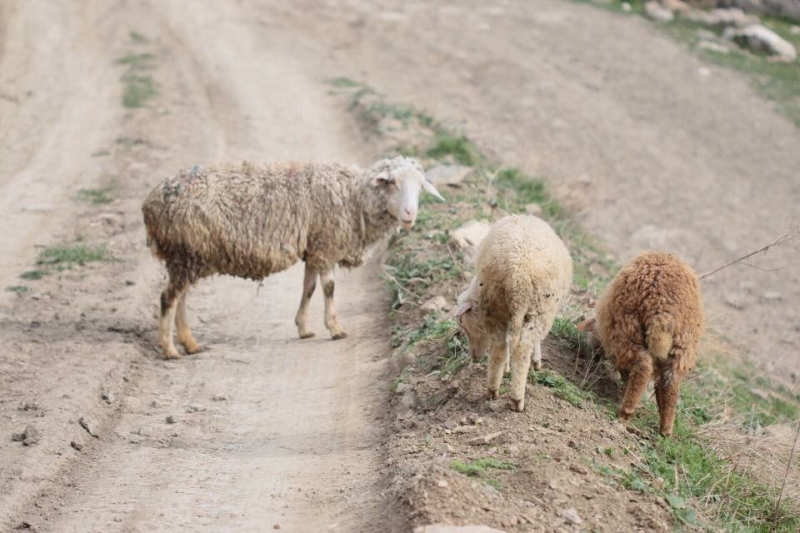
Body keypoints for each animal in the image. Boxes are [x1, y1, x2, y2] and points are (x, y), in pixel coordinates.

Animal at [143, 156, 444, 360]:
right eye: (391, 183)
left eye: (420, 186)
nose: (410, 215)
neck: (352, 196)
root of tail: (150, 203)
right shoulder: (326, 243)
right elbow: (329, 288)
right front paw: (335, 328)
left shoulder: (314, 248)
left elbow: (308, 287)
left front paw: (304, 328)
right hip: (185, 252)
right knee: (168, 298)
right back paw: (169, 349)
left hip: (188, 255)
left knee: (180, 298)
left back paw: (190, 344)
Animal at [454, 214, 572, 410]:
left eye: (463, 323)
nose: (474, 356)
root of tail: (516, 277)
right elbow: (534, 342)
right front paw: (536, 361)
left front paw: (508, 367)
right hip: (539, 308)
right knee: (522, 347)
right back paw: (517, 399)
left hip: (495, 307)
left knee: (499, 346)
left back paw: (493, 389)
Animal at [580, 251, 704, 434]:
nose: (592, 353)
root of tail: (664, 312)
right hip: (683, 344)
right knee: (670, 382)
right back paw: (666, 429)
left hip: (628, 328)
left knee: (643, 366)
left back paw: (625, 412)